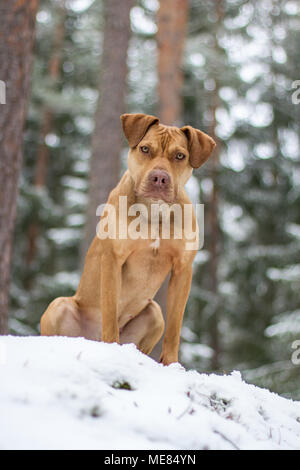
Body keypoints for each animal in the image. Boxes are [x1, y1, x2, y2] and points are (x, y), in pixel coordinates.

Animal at [40, 113, 216, 364]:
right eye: (145, 149)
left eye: (180, 156)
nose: (159, 178)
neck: (154, 210)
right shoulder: (113, 258)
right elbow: (110, 311)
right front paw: (111, 348)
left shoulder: (183, 268)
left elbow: (175, 327)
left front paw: (172, 364)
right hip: (59, 305)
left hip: (154, 313)